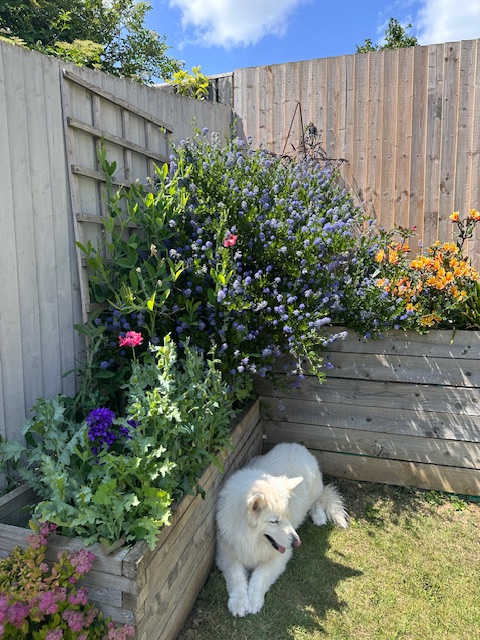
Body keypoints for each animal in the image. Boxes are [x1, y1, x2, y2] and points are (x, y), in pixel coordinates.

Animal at [215, 442, 348, 617]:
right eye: (274, 521)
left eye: (287, 515)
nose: (297, 543)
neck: (250, 537)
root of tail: (298, 447)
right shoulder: (226, 553)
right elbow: (236, 576)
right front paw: (239, 602)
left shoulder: (279, 557)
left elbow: (260, 575)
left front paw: (254, 599)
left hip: (314, 488)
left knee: (319, 498)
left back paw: (318, 515)